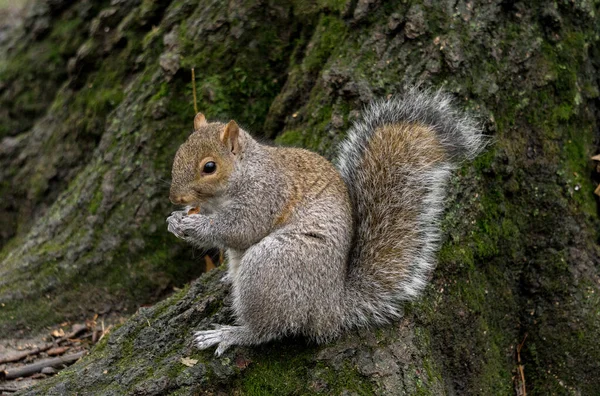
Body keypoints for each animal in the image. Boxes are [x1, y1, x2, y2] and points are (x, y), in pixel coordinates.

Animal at [166, 87, 486, 356]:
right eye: (178, 153)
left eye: (209, 167)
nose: (174, 197)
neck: (243, 174)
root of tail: (330, 306)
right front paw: (176, 219)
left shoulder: (265, 195)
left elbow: (240, 229)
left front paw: (193, 226)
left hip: (272, 266)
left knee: (267, 329)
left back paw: (234, 334)